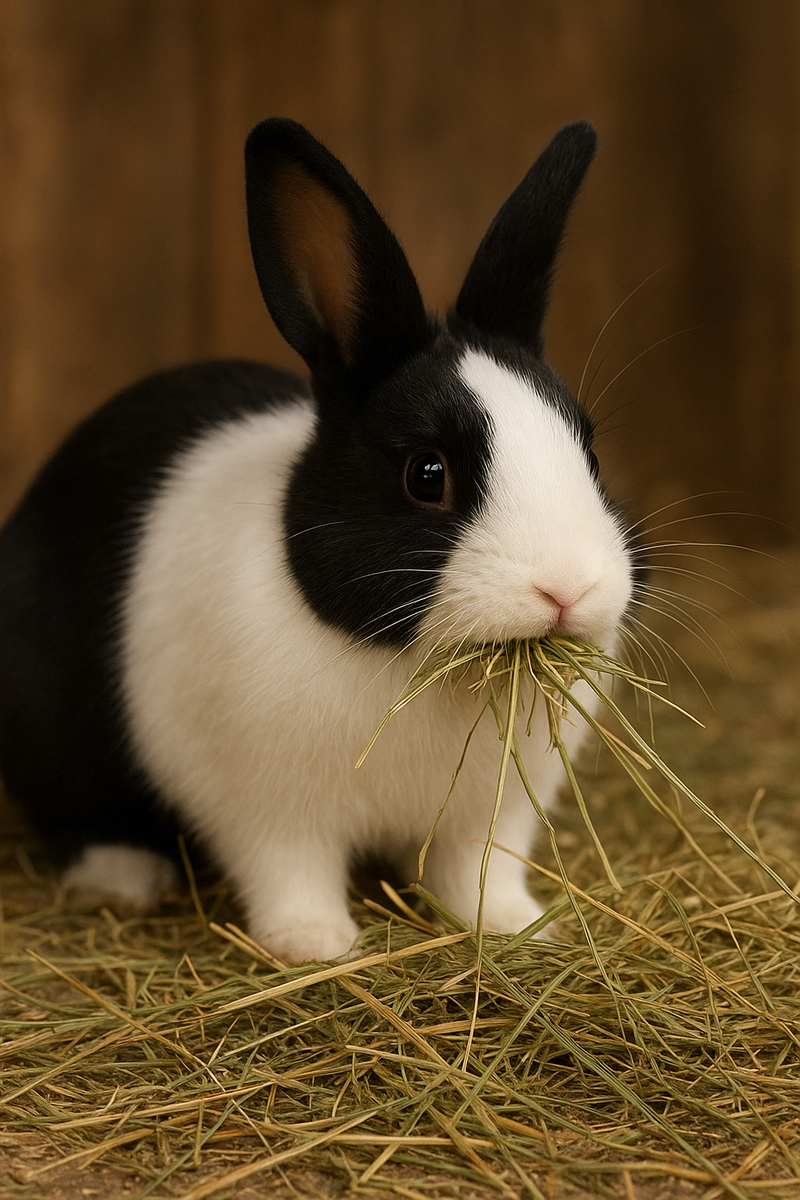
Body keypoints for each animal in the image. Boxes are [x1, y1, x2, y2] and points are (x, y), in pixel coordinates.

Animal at [0, 117, 634, 965]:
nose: (566, 588)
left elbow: (477, 872)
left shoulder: (486, 818)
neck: (414, 667)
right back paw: (122, 878)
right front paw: (316, 945)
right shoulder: (268, 812)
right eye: (426, 474)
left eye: (588, 450)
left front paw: (517, 926)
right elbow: (289, 873)